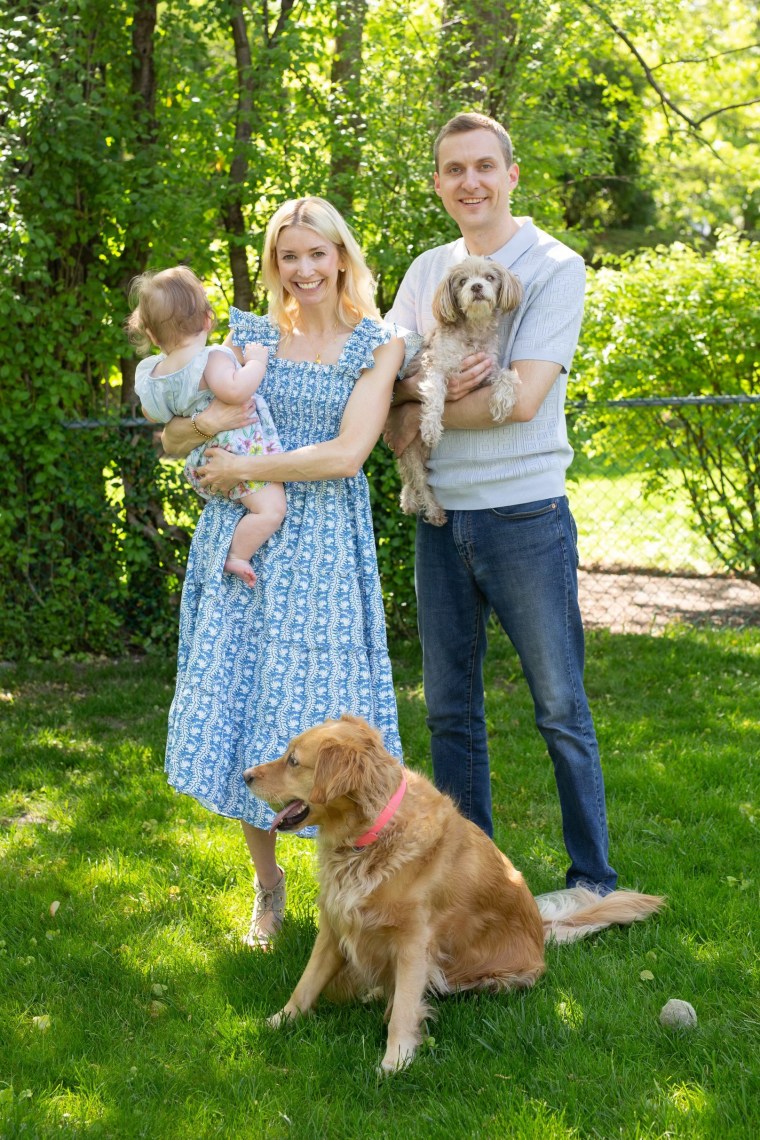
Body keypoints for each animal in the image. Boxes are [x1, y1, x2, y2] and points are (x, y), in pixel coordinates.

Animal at [244, 715, 665, 1071]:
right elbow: (306, 984)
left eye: (293, 761)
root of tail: (542, 931)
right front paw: (277, 1022)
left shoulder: (414, 942)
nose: (245, 775)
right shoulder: (335, 924)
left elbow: (405, 1008)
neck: (370, 837)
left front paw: (395, 1060)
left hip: (496, 978)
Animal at [398, 256, 524, 526]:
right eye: (462, 281)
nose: (476, 286)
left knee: (410, 482)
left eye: (489, 277)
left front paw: (502, 401)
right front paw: (431, 428)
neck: (473, 331)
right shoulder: (436, 368)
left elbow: (506, 376)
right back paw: (433, 511)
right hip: (412, 453)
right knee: (419, 482)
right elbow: (435, 398)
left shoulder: (486, 371)